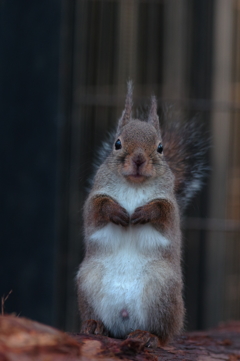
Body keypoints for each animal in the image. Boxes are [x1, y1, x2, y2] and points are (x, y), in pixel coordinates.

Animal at [76, 81, 207, 346]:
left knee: (164, 334)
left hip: (162, 289)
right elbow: (96, 209)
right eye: (117, 143)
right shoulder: (94, 198)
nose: (138, 159)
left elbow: (162, 212)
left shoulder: (170, 207)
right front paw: (116, 212)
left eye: (160, 147)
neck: (134, 185)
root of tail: (124, 324)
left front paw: (144, 212)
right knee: (100, 320)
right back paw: (94, 325)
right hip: (88, 281)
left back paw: (148, 336)